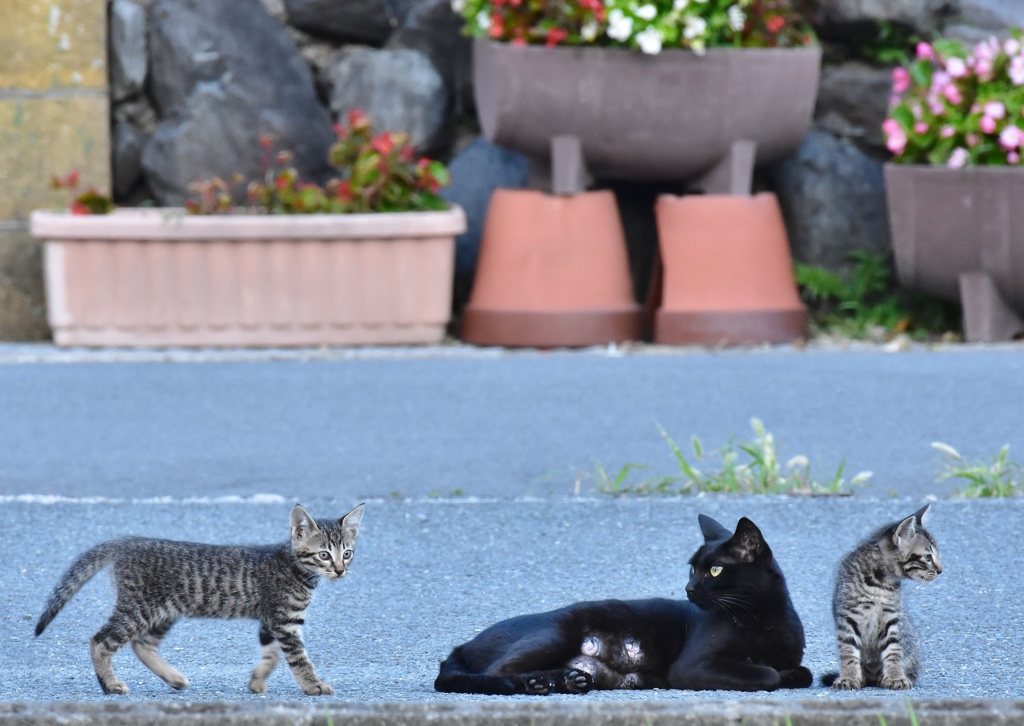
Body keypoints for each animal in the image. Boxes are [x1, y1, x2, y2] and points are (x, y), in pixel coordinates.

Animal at [36, 501, 364, 692]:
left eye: (347, 553)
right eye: (324, 555)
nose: (340, 570)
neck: (294, 565)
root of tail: (127, 542)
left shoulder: (269, 620)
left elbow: (270, 655)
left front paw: (257, 682)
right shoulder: (285, 621)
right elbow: (299, 658)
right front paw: (313, 685)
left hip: (164, 611)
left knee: (142, 644)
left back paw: (173, 678)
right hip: (140, 608)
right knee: (100, 640)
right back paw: (110, 684)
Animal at [436, 511, 811, 692]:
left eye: (715, 570)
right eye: (693, 568)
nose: (688, 588)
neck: (761, 618)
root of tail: (461, 645)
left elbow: (802, 672)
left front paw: (791, 673)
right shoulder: (695, 665)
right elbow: (767, 673)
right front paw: (775, 673)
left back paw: (566, 681)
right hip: (553, 633)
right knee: (498, 672)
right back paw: (541, 684)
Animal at [827, 503, 937, 692]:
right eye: (928, 557)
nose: (940, 570)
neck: (880, 583)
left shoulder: (892, 617)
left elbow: (893, 650)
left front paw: (895, 677)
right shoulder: (847, 617)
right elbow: (848, 650)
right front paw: (849, 677)